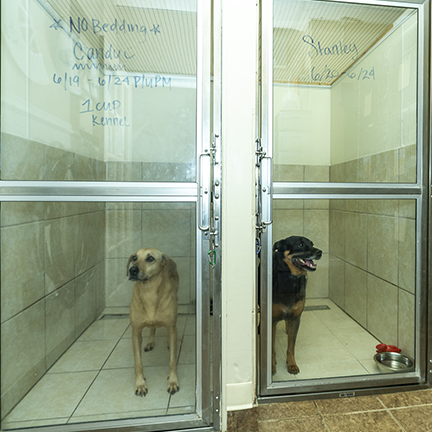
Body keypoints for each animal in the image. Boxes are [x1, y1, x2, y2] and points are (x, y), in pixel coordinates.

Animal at [125, 248, 180, 396]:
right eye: (134, 258)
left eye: (150, 259)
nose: (132, 270)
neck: (148, 291)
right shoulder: (135, 332)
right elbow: (138, 363)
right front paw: (140, 384)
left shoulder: (172, 327)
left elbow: (172, 361)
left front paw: (173, 381)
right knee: (152, 327)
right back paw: (150, 341)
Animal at [274, 236, 320, 374]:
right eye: (300, 244)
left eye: (312, 244)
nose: (320, 252)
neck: (291, 277)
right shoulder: (271, 320)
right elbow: (271, 348)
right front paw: (272, 367)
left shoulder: (295, 319)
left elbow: (291, 346)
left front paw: (292, 364)